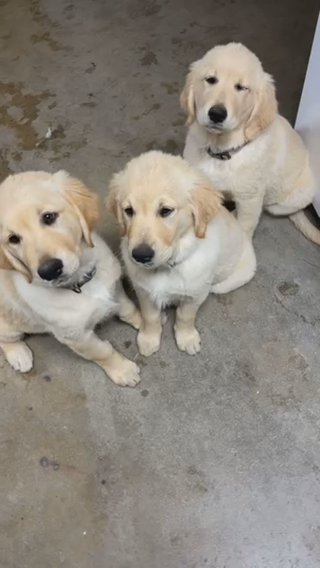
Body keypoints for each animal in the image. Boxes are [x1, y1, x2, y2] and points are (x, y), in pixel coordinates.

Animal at [0, 171, 141, 388]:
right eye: (13, 239)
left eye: (48, 217)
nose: (49, 270)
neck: (81, 284)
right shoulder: (76, 337)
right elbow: (103, 352)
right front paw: (123, 370)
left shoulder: (115, 287)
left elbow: (128, 308)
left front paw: (146, 324)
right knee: (6, 339)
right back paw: (19, 355)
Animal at [106, 151, 256, 356]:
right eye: (129, 210)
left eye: (165, 211)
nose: (140, 255)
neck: (168, 266)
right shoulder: (143, 291)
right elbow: (150, 316)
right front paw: (149, 338)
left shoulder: (196, 293)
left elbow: (185, 316)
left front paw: (187, 338)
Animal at [180, 41, 318, 242]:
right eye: (211, 79)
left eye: (241, 87)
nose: (216, 114)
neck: (222, 151)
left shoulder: (250, 199)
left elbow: (244, 226)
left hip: (290, 198)